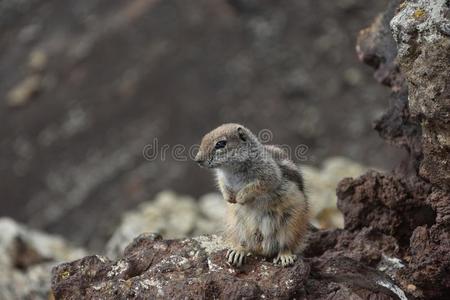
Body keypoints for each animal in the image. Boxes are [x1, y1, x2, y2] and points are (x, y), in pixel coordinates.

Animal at [195, 123, 312, 266]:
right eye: (204, 138)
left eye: (220, 144)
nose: (197, 160)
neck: (231, 170)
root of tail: (262, 248)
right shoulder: (222, 178)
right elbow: (223, 187)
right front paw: (229, 198)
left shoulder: (267, 176)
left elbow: (255, 187)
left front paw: (240, 198)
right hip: (237, 225)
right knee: (244, 244)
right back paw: (238, 251)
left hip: (290, 224)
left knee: (286, 245)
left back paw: (285, 256)